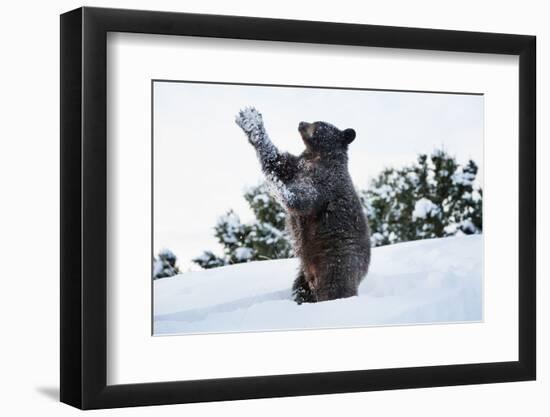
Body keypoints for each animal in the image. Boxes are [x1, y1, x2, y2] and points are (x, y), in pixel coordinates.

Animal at [235, 107, 374, 302]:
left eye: (319, 123)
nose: (301, 122)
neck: (317, 155)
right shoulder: (296, 166)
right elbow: (277, 161)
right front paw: (249, 119)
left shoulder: (323, 183)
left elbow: (300, 199)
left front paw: (277, 188)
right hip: (305, 271)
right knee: (301, 288)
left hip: (337, 261)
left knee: (333, 289)